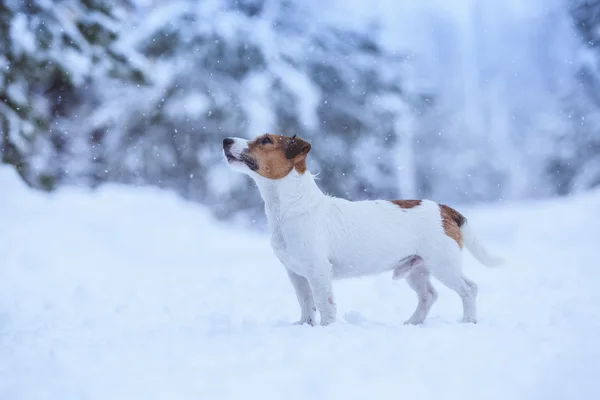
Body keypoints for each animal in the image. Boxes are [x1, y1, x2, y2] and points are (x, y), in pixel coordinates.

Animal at [221, 133, 502, 326]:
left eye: (266, 140)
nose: (226, 140)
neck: (293, 207)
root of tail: (445, 208)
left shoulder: (318, 270)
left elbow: (324, 302)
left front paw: (326, 328)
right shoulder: (295, 273)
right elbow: (306, 302)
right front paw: (304, 326)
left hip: (444, 264)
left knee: (469, 289)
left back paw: (468, 321)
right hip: (416, 268)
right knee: (428, 295)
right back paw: (412, 323)